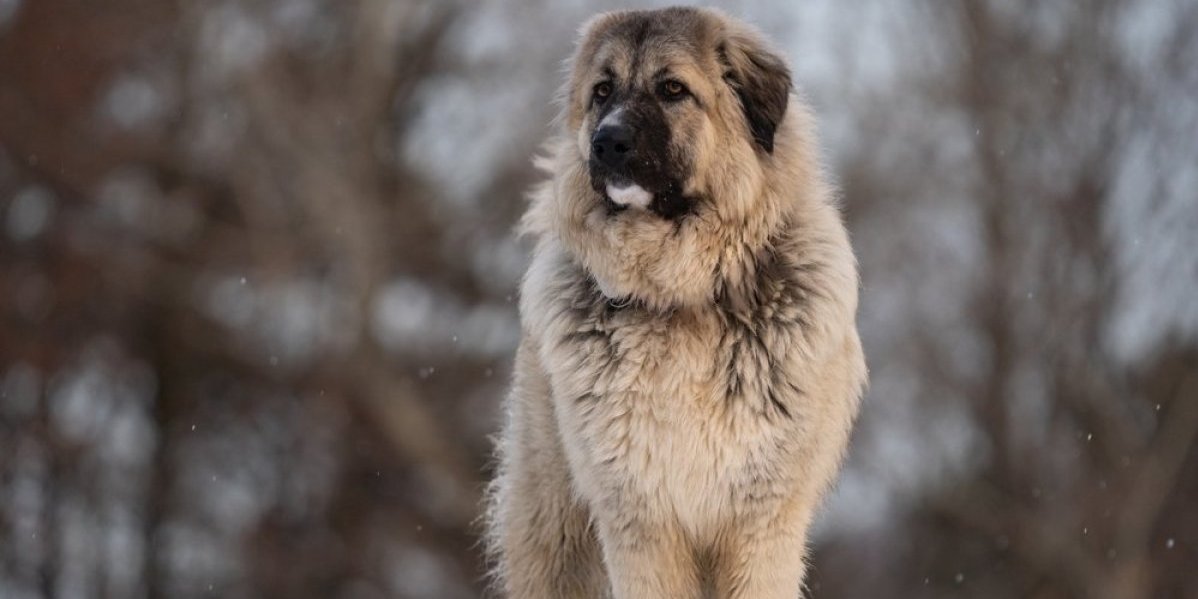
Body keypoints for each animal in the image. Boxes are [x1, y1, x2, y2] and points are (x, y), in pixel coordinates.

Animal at [481, 5, 867, 599]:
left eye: (672, 89)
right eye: (602, 91)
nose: (607, 142)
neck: (681, 293)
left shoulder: (760, 523)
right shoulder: (641, 522)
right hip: (556, 529)